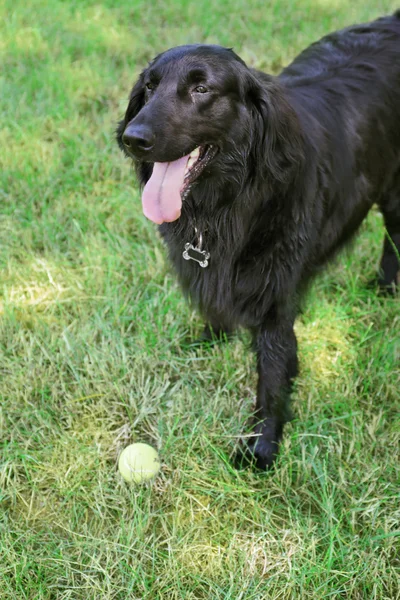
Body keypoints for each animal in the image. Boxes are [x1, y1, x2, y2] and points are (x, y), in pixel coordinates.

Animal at [116, 12, 400, 468]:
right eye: (149, 87)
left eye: (202, 89)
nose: (133, 138)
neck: (228, 201)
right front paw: (211, 336)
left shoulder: (276, 296)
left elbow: (273, 371)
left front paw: (262, 445)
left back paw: (386, 285)